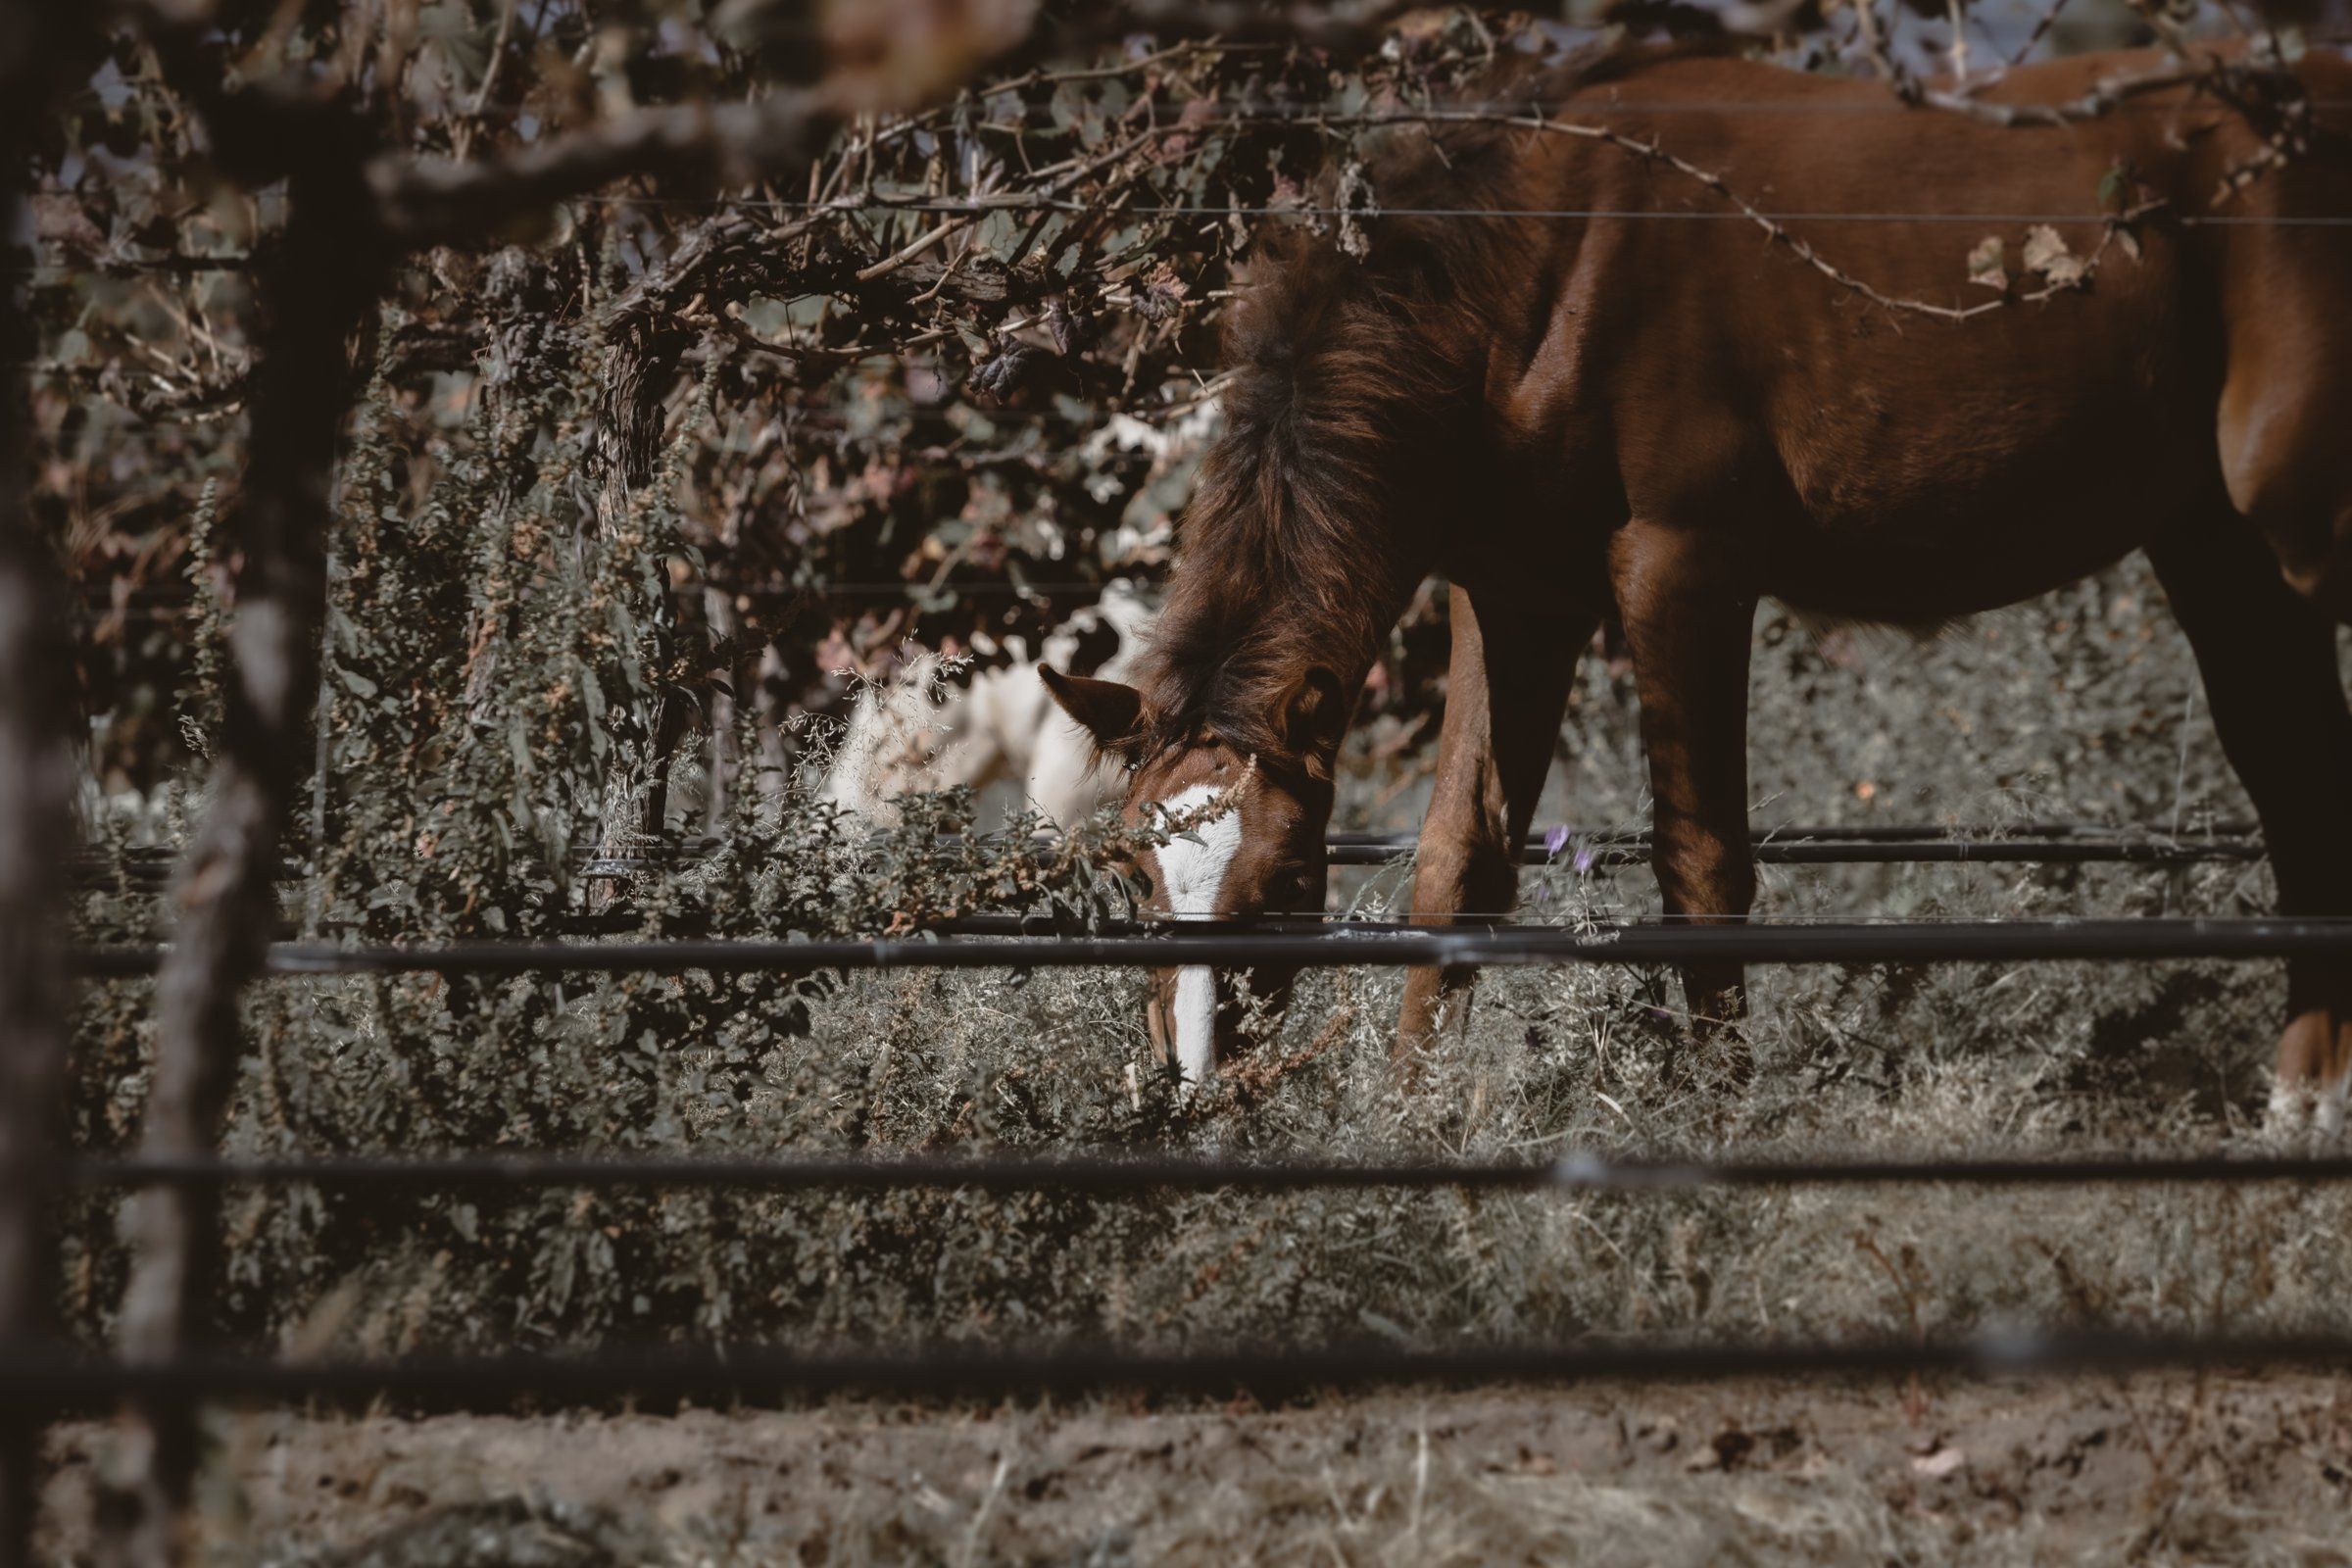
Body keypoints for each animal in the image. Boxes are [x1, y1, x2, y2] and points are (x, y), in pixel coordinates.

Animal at [1038, 40, 2352, 1131]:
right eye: (1130, 874)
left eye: (1282, 883)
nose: (1197, 1091)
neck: (1531, 262)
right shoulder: (1516, 596)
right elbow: (1457, 857)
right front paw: (1407, 1124)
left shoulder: (1684, 566)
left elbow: (1703, 860)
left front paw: (1717, 1122)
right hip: (2219, 547)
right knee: (2299, 785)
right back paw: (2300, 1106)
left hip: (2298, 536)